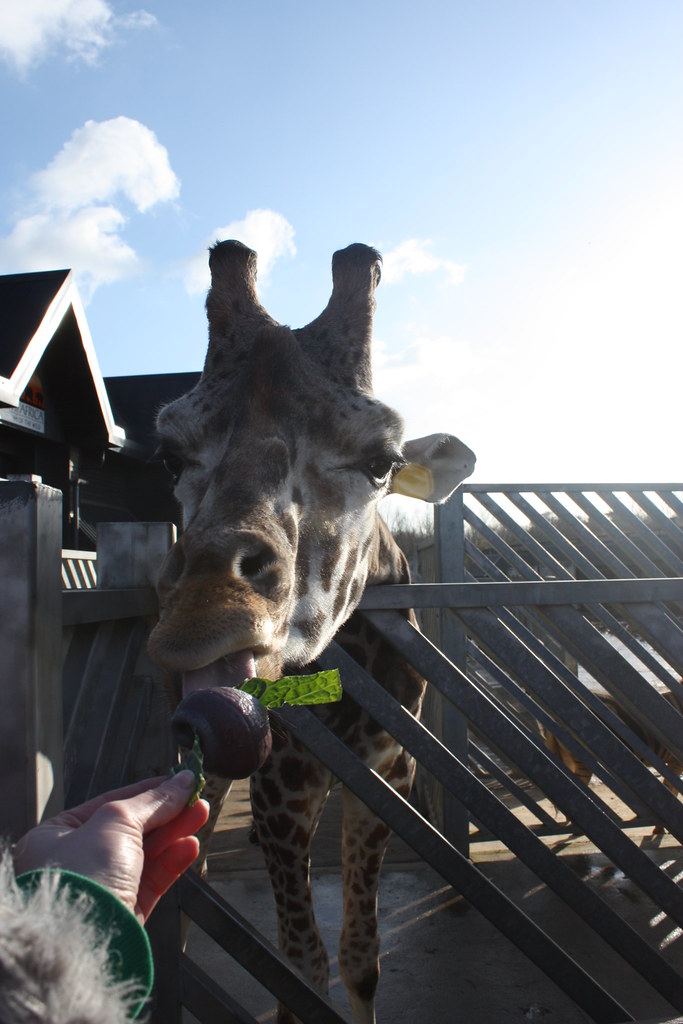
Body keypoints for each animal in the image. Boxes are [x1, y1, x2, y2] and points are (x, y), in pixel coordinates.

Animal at [147, 240, 475, 1023]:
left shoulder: (384, 772)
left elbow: (360, 959)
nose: (207, 616)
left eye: (383, 462)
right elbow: (300, 963)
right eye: (170, 455)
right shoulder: (279, 788)